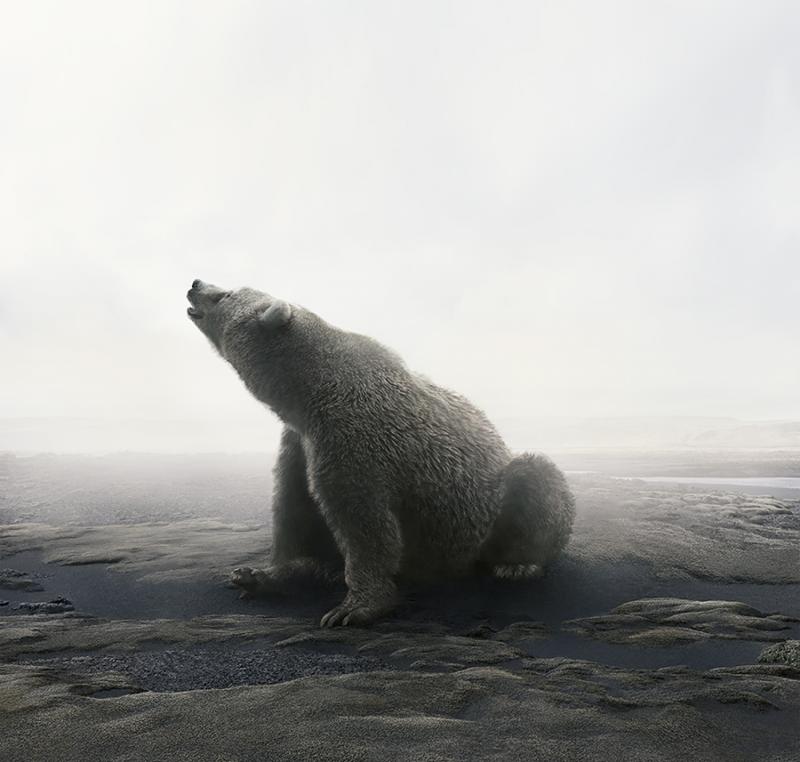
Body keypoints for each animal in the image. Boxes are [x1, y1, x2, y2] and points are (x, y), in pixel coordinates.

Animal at [186, 279, 575, 627]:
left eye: (226, 294)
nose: (194, 284)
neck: (312, 389)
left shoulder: (354, 437)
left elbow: (364, 523)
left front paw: (353, 608)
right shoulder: (299, 442)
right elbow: (293, 508)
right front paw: (259, 575)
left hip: (489, 508)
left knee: (534, 478)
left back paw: (517, 564)